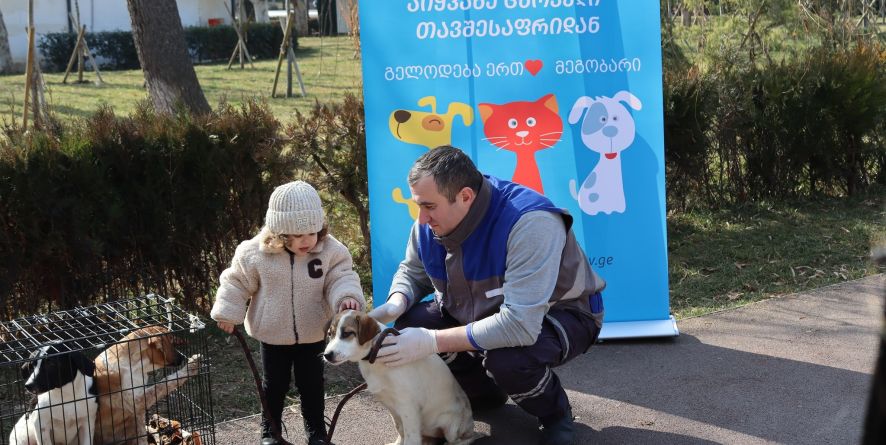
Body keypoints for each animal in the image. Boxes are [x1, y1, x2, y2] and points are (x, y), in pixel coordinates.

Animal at [322, 308, 486, 444]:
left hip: (451, 425)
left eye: (347, 333)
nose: (327, 355)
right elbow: (400, 429)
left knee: (461, 439)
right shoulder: (391, 406)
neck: (378, 353)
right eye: (330, 334)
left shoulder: (408, 406)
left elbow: (411, 437)